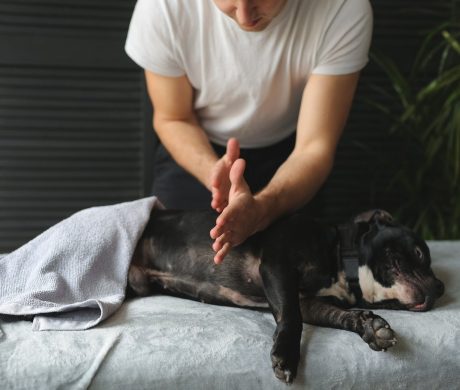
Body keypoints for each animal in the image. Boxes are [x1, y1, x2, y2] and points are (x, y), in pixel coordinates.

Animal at [127, 210, 444, 384]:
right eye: (419, 253)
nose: (440, 288)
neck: (342, 260)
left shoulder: (311, 302)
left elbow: (341, 316)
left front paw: (370, 327)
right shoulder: (278, 267)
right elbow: (292, 317)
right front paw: (287, 356)